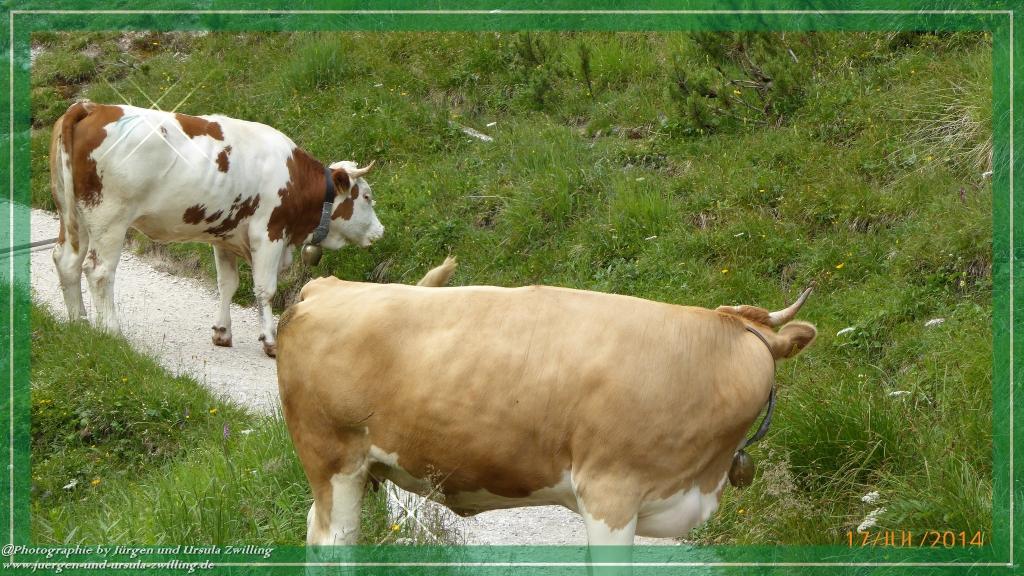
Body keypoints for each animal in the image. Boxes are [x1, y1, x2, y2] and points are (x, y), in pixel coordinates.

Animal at [49, 101, 384, 356]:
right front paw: (271, 341)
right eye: (367, 197)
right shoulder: (269, 232)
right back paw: (111, 332)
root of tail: (92, 107)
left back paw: (79, 324)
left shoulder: (225, 236)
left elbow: (227, 284)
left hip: (74, 217)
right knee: (99, 271)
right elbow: (265, 289)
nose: (380, 232)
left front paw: (222, 332)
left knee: (67, 261)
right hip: (110, 219)